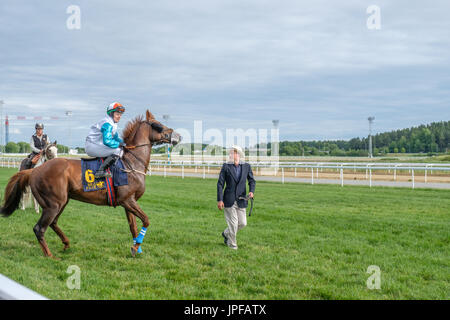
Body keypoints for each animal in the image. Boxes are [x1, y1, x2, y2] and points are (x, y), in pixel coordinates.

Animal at [2, 110, 181, 258]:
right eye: (158, 125)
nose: (178, 136)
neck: (131, 163)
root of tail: (35, 170)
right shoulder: (128, 200)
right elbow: (146, 220)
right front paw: (136, 246)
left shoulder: (128, 202)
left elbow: (133, 227)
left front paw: (136, 248)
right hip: (53, 204)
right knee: (39, 228)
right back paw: (49, 255)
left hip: (61, 202)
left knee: (52, 223)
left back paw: (66, 244)